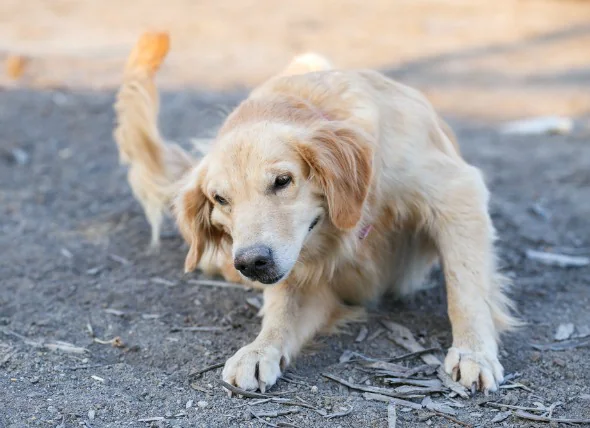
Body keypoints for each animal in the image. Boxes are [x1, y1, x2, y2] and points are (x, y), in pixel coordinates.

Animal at [175, 51, 520, 394]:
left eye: (283, 180)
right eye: (220, 199)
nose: (250, 263)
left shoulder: (456, 192)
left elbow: (465, 288)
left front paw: (473, 351)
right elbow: (282, 309)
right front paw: (259, 349)